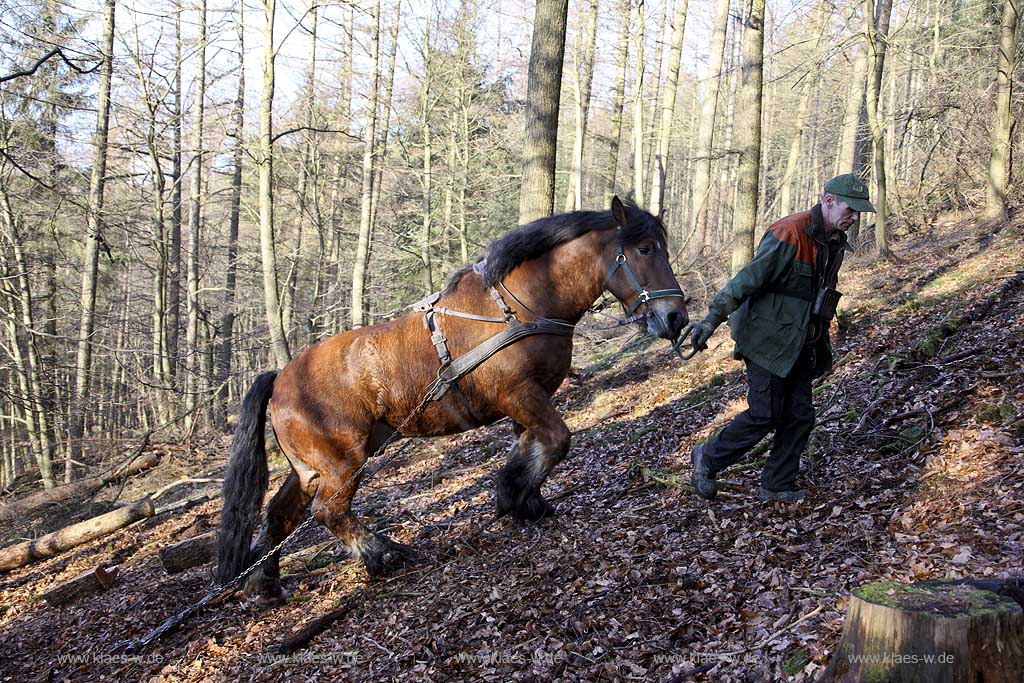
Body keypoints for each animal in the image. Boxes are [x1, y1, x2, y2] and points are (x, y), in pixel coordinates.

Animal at [220, 197, 692, 598]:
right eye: (645, 249)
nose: (676, 318)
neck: (521, 308)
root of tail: (281, 376)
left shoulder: (527, 402)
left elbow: (530, 445)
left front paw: (520, 496)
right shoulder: (519, 395)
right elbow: (558, 440)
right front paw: (516, 496)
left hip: (309, 468)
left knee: (281, 514)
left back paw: (264, 582)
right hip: (341, 462)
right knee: (329, 511)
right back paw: (383, 554)